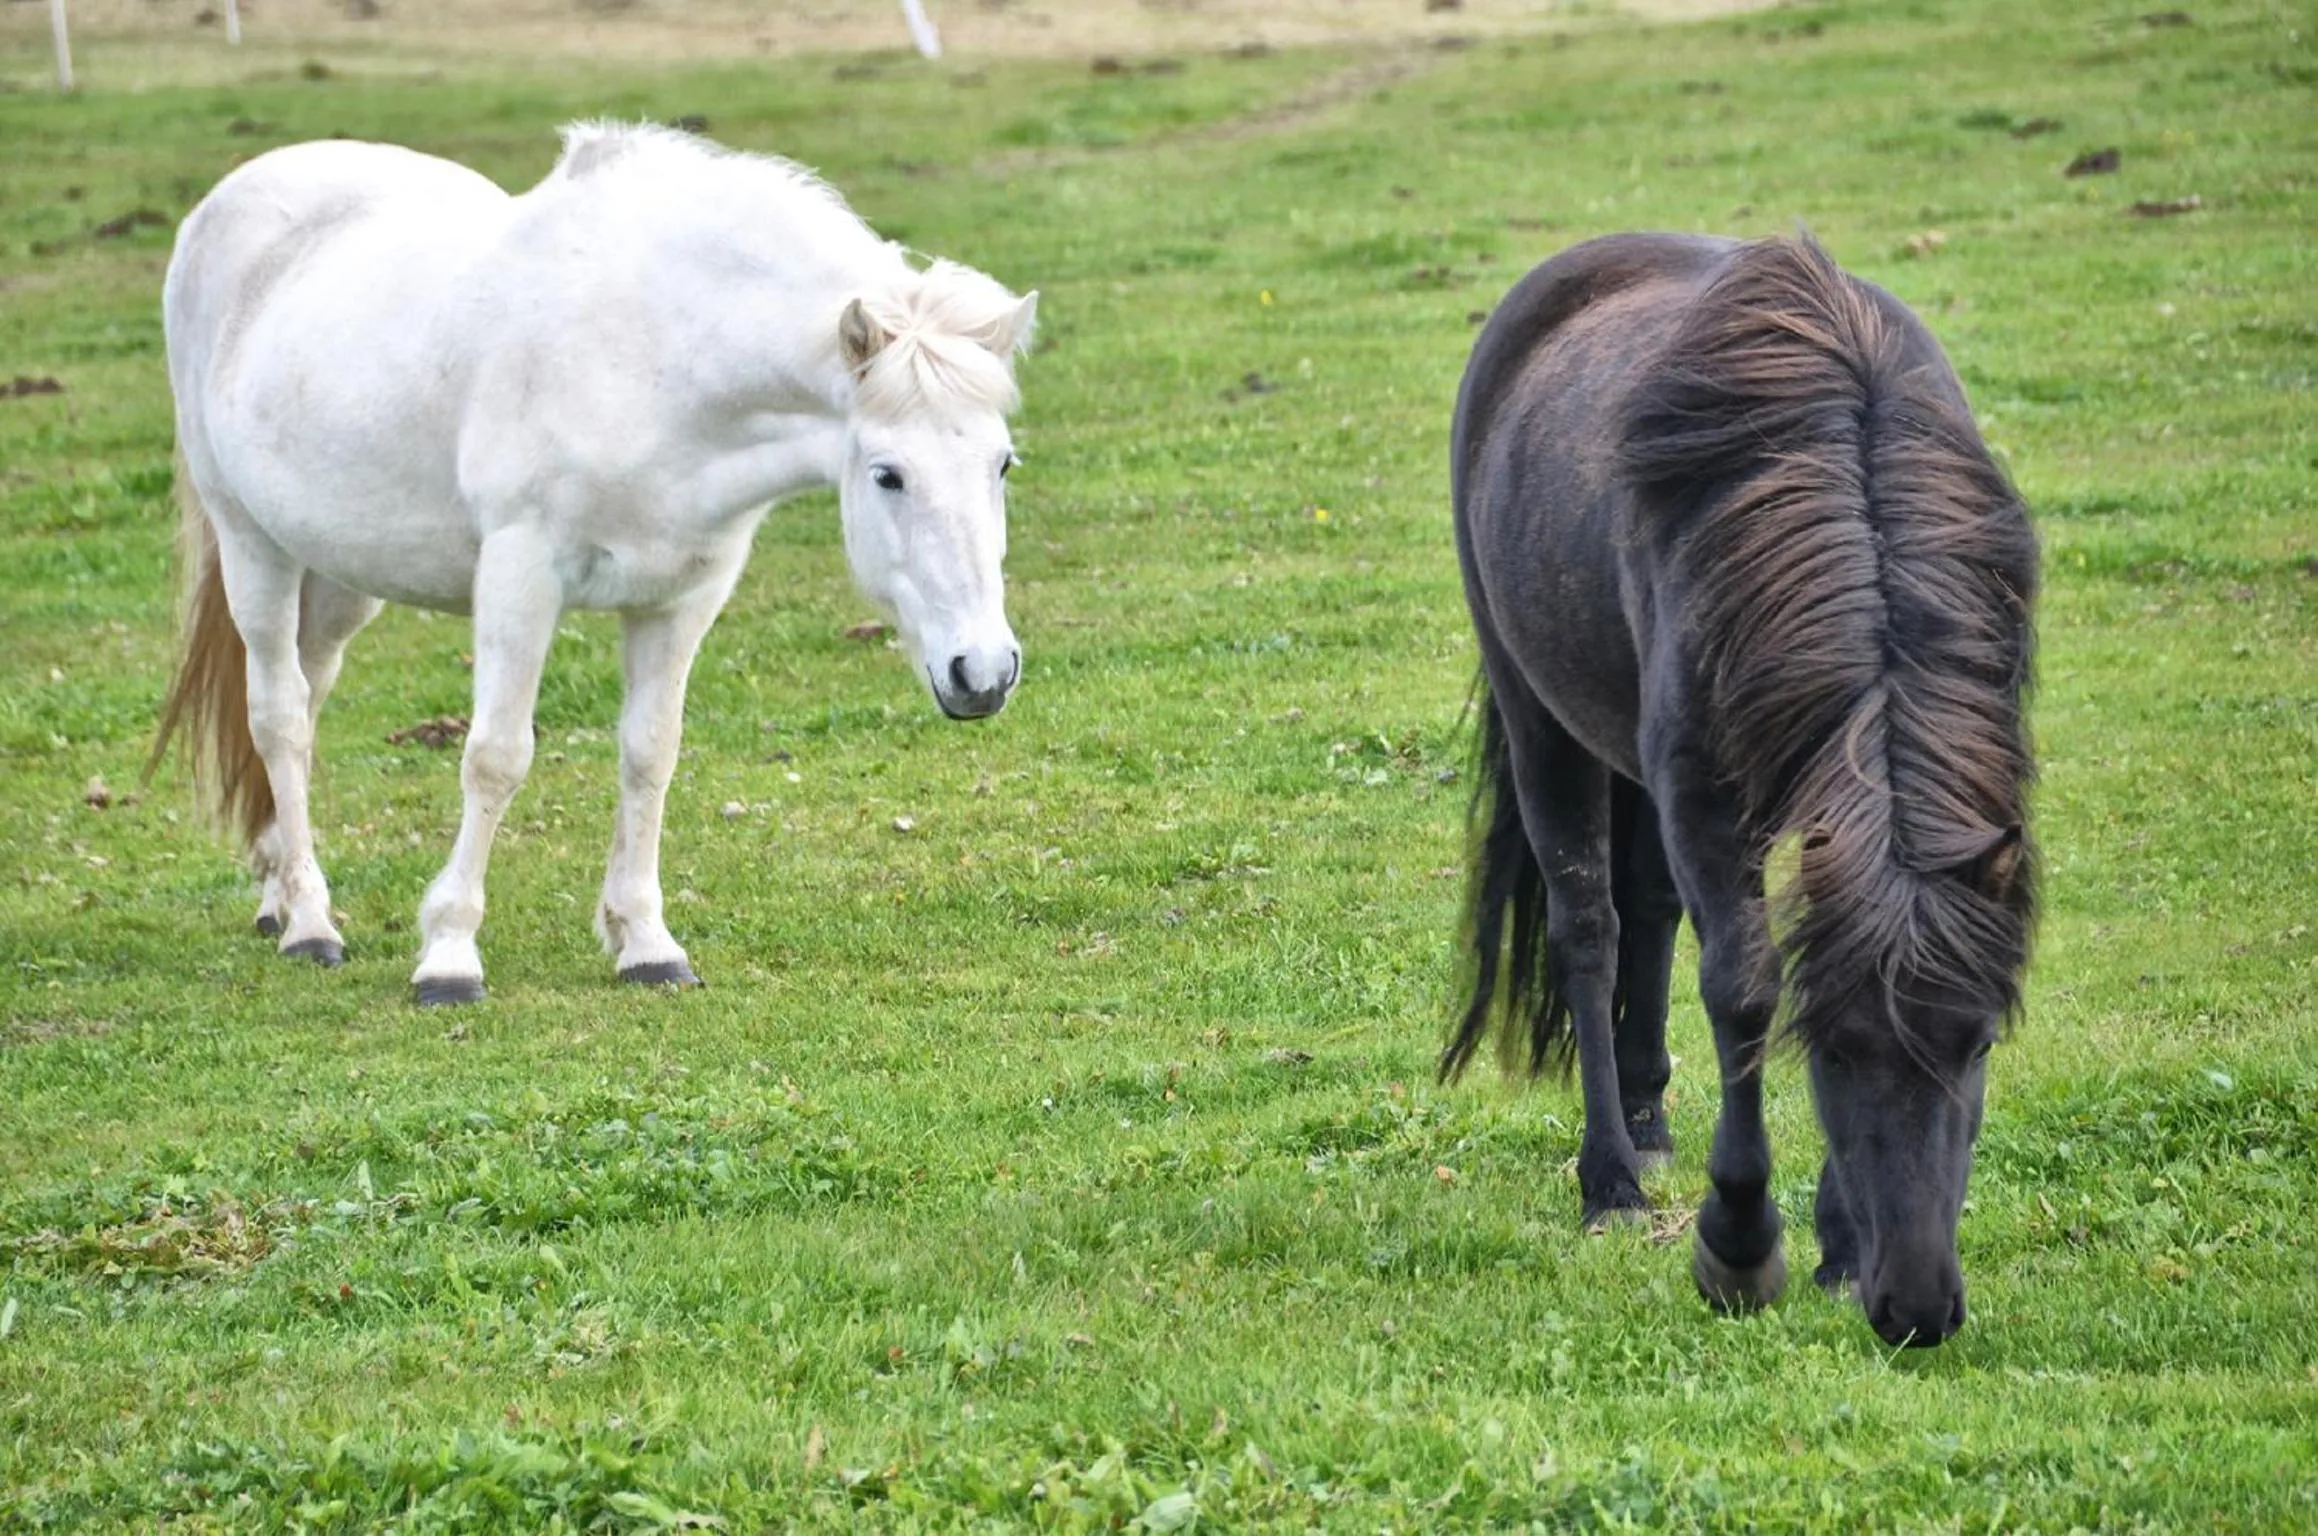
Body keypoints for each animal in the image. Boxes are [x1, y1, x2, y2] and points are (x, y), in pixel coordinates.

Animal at [151, 123, 1038, 1006]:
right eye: (888, 474)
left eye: (1002, 463)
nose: (984, 672)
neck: (655, 358)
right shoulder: (521, 577)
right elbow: (495, 758)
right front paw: (449, 954)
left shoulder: (682, 596)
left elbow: (650, 754)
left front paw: (646, 942)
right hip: (253, 546)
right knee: (279, 714)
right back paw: (309, 922)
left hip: (337, 577)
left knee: (308, 698)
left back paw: (276, 890)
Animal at [1444, 232, 2037, 1348]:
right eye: (1834, 1051)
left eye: (1978, 1041)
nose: (1916, 1308)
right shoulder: (1703, 794)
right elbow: (1743, 986)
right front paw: (1739, 1244)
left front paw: (1837, 1249)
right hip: (1541, 722)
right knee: (1588, 926)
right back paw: (1611, 1181)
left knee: (1645, 908)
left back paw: (1646, 1121)